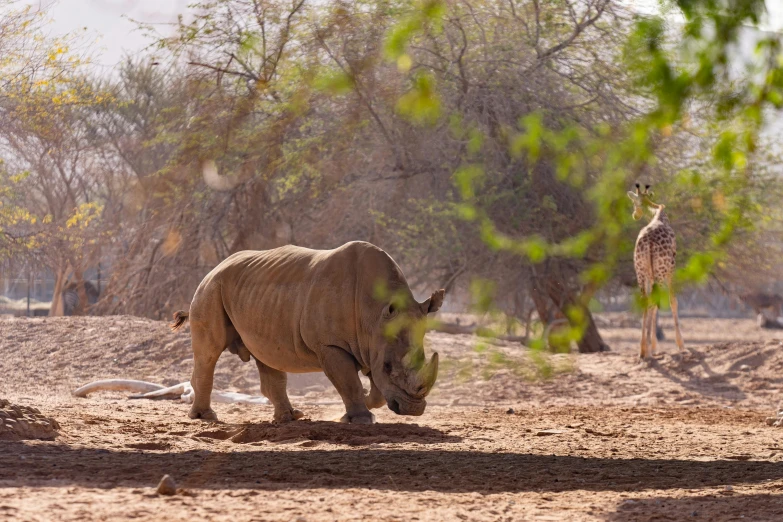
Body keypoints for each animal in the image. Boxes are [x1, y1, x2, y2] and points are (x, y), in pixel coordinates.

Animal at [628, 183, 684, 358]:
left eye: (634, 202)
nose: (634, 215)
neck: (658, 213)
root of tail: (649, 243)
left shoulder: (649, 273)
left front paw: (652, 346)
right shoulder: (671, 268)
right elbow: (673, 301)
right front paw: (681, 345)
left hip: (640, 270)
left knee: (646, 300)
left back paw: (642, 350)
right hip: (660, 270)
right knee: (653, 300)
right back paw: (647, 349)